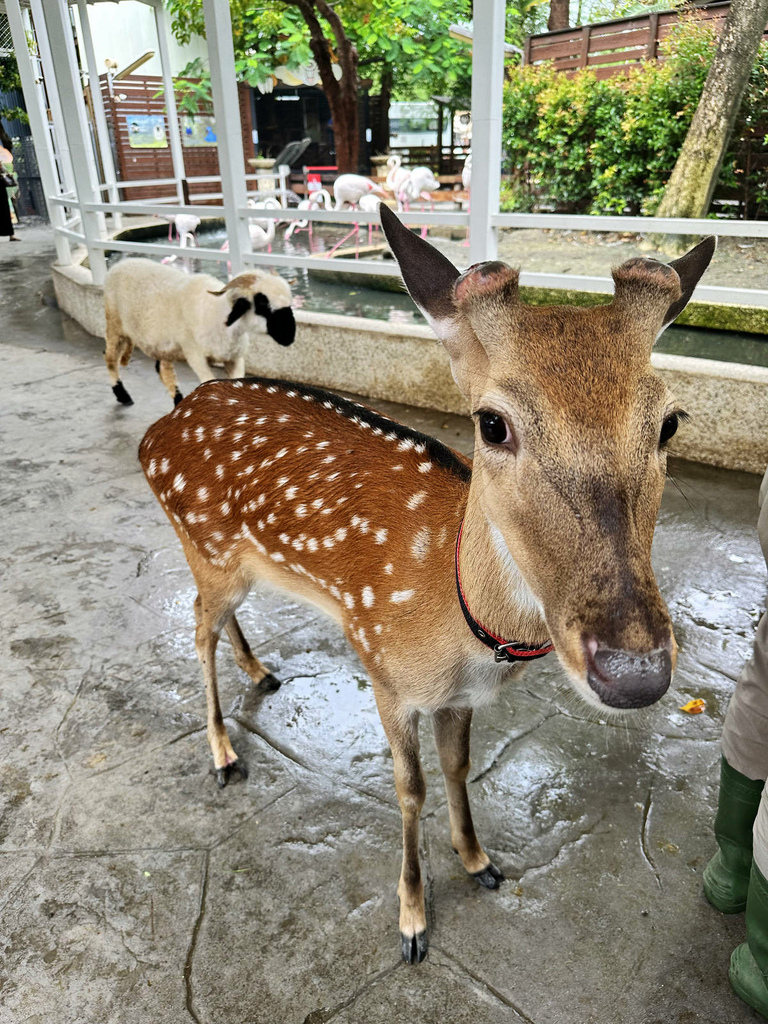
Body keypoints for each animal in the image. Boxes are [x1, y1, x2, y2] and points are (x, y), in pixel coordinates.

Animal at [102, 258, 294, 405]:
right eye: (262, 302)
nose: (289, 336)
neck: (218, 313)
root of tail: (121, 263)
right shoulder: (195, 355)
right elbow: (209, 383)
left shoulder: (234, 358)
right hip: (114, 323)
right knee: (110, 358)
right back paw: (122, 395)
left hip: (162, 344)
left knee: (163, 369)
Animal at [137, 203, 716, 962]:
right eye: (492, 423)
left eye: (670, 423)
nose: (635, 671)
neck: (460, 625)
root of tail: (158, 429)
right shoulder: (385, 671)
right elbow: (408, 788)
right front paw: (412, 918)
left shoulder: (458, 699)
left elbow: (457, 768)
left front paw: (478, 860)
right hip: (201, 541)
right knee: (194, 629)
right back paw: (223, 753)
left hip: (226, 562)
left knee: (215, 616)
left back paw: (260, 671)